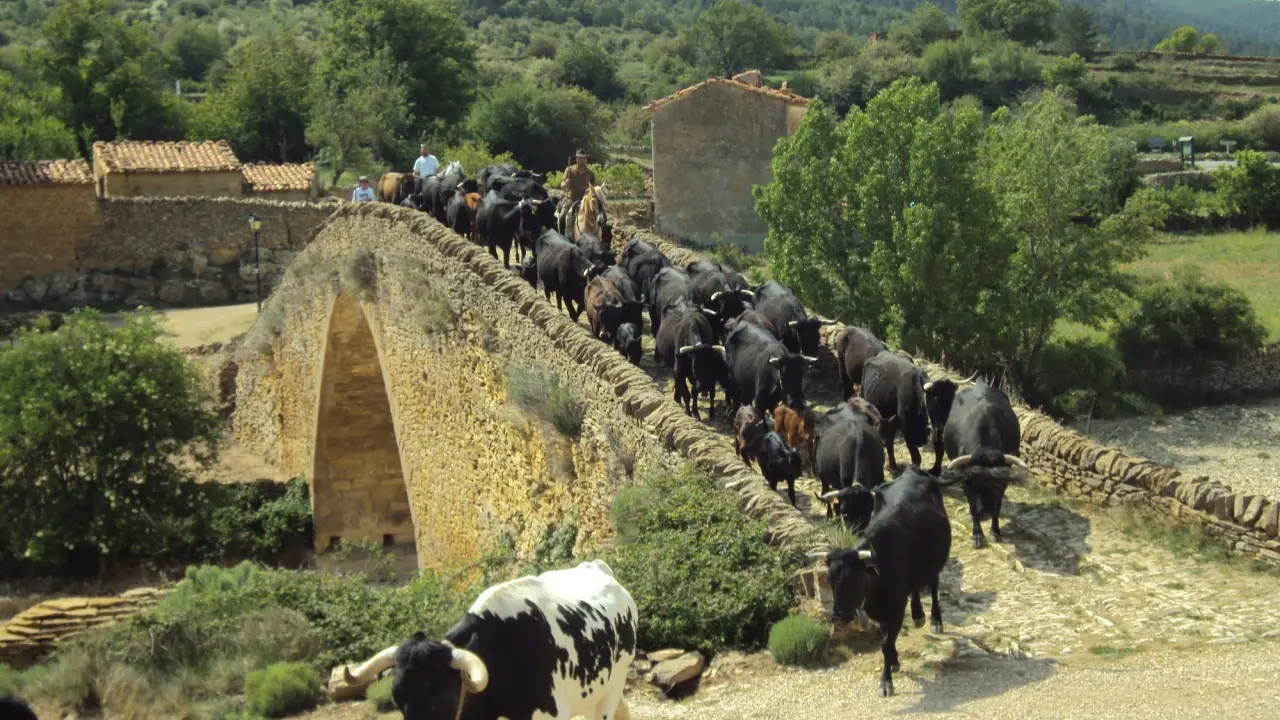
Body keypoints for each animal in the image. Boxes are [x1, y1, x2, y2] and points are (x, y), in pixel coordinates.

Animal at [808, 466, 952, 698]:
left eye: (854, 578)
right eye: (829, 579)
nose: (839, 615)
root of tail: (912, 470)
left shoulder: (896, 609)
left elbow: (886, 643)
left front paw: (886, 681)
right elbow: (888, 641)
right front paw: (894, 661)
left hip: (935, 563)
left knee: (933, 585)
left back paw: (935, 620)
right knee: (915, 588)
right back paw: (918, 615)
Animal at [933, 379, 1028, 548]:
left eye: (996, 484)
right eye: (976, 482)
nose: (987, 510)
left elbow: (998, 506)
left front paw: (995, 532)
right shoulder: (966, 482)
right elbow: (973, 508)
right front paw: (977, 535)